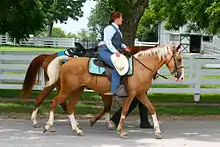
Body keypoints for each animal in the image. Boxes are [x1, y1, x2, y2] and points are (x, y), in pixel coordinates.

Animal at [20, 42, 155, 129]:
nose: (154, 76)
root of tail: (49, 56)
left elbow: (108, 106)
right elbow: (110, 106)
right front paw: (104, 121)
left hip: (54, 84)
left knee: (44, 99)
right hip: (60, 85)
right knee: (57, 101)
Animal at [43, 43, 184, 138]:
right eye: (178, 59)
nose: (180, 76)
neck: (140, 68)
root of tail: (67, 60)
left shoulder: (140, 94)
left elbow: (151, 109)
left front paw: (158, 131)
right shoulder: (131, 95)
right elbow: (125, 110)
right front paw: (120, 131)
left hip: (78, 90)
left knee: (70, 107)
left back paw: (76, 130)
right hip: (67, 90)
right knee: (55, 102)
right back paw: (48, 126)